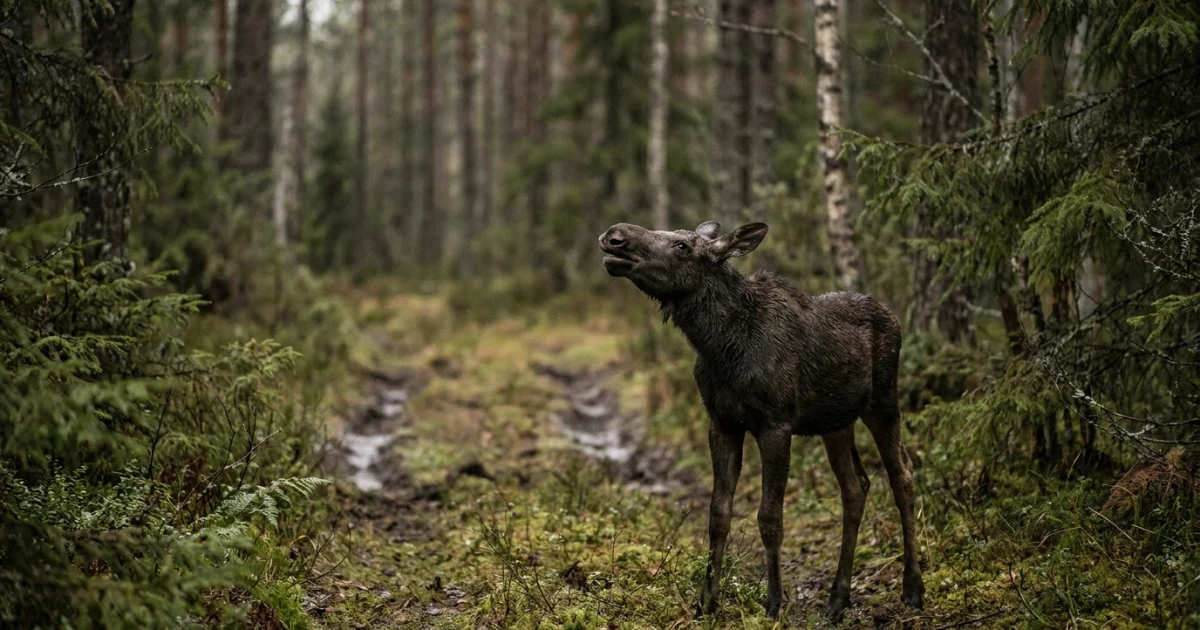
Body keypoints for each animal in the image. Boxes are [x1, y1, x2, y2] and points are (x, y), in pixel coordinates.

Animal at [598, 221, 924, 621]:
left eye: (682, 246)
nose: (615, 236)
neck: (719, 343)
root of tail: (892, 315)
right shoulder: (722, 424)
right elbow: (718, 515)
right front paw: (706, 603)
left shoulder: (775, 425)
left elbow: (770, 518)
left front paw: (773, 604)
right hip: (836, 422)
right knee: (855, 487)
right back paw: (837, 600)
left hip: (882, 402)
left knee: (902, 475)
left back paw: (913, 589)